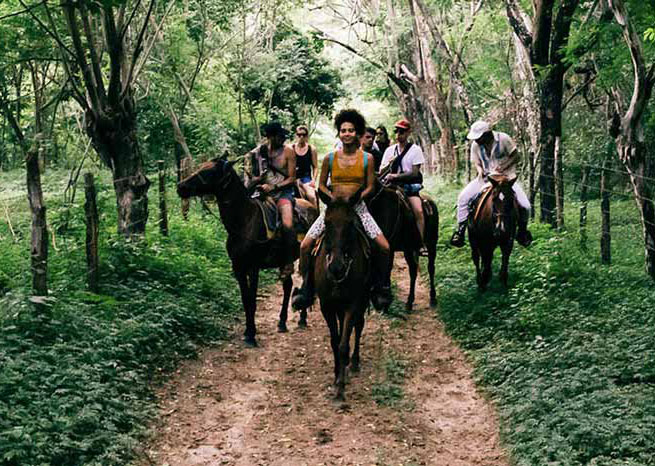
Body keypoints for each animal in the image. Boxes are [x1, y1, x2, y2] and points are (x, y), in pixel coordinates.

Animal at [174, 157, 318, 346]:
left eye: (209, 171)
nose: (180, 186)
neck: (244, 221)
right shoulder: (238, 267)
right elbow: (245, 300)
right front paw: (247, 331)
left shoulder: (253, 267)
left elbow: (252, 300)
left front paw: (251, 335)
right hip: (282, 261)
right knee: (288, 286)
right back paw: (281, 322)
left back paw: (301, 318)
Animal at [316, 189, 372, 400]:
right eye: (327, 222)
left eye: (350, 224)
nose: (337, 267)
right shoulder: (327, 306)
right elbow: (334, 341)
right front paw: (336, 375)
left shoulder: (352, 305)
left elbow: (343, 344)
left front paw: (340, 387)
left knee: (358, 326)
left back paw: (353, 363)